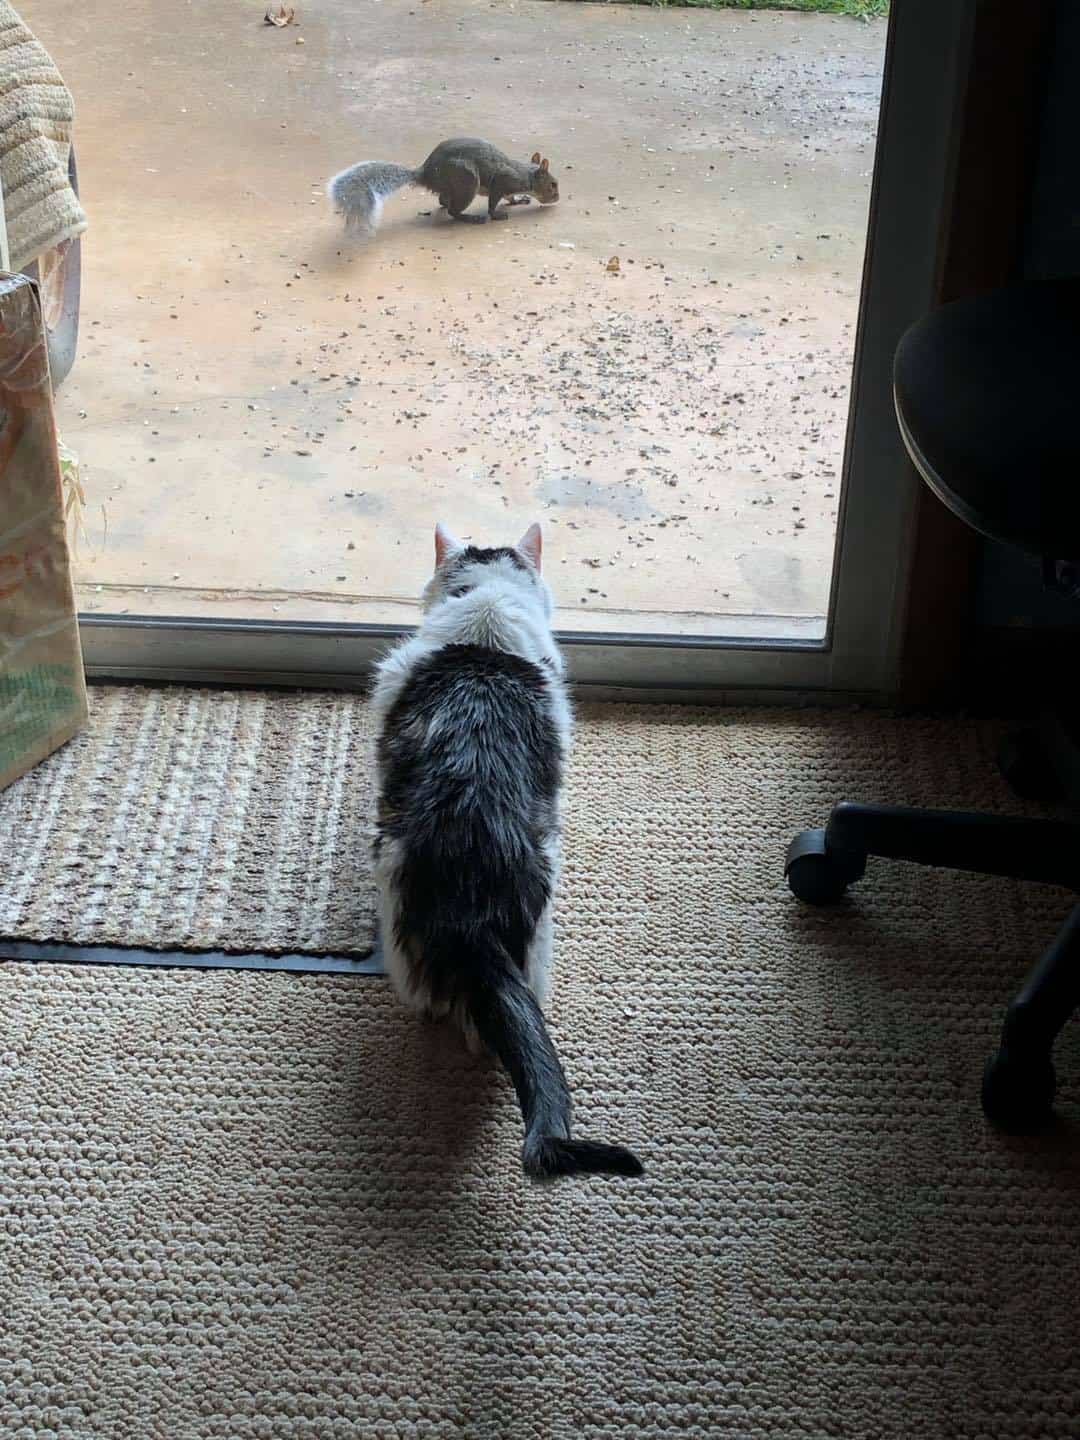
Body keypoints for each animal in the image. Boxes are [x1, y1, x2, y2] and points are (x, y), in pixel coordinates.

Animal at [325, 136, 561, 237]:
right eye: (553, 184)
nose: (557, 198)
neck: (525, 174)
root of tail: (427, 173)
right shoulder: (502, 182)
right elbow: (494, 201)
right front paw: (497, 214)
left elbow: (509, 198)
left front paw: (519, 200)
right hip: (467, 181)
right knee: (452, 211)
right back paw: (472, 218)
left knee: (442, 201)